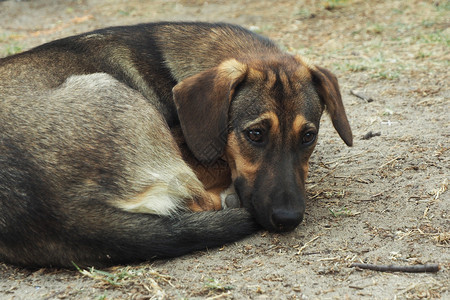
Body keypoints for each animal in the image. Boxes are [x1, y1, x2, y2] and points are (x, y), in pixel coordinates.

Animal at [0, 21, 352, 268]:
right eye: (255, 134)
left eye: (308, 136)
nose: (288, 219)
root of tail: (61, 215)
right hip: (113, 93)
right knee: (199, 201)